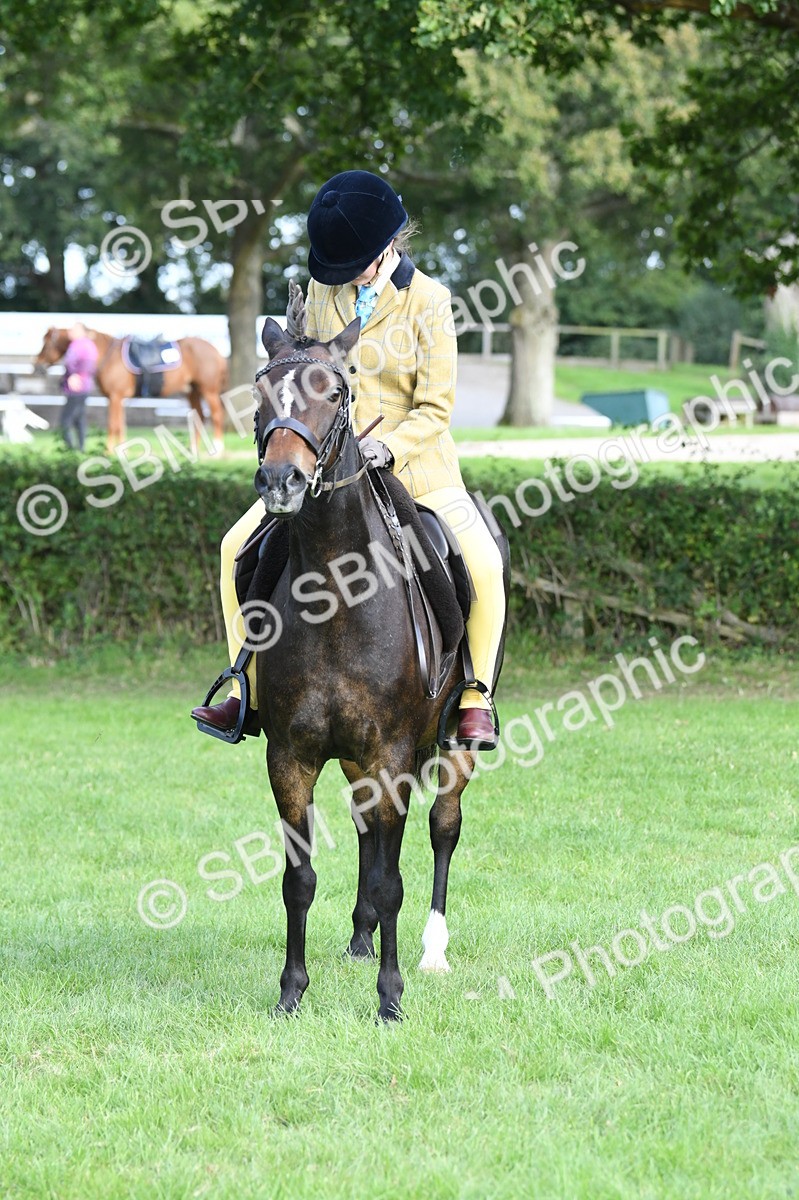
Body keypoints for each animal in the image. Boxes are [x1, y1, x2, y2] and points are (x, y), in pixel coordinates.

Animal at [34, 327, 228, 453]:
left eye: (47, 343)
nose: (37, 366)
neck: (108, 356)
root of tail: (217, 352)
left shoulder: (115, 397)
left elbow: (113, 425)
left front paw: (108, 452)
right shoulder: (117, 399)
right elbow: (121, 425)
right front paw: (122, 451)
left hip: (208, 390)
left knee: (217, 415)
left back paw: (217, 448)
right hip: (193, 391)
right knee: (199, 416)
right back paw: (193, 448)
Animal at [250, 306, 508, 1022]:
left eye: (335, 393)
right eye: (260, 392)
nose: (279, 482)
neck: (337, 593)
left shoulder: (391, 752)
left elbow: (394, 877)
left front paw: (390, 1000)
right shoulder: (291, 755)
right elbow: (300, 877)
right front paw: (290, 992)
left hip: (448, 747)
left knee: (441, 830)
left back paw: (431, 952)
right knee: (371, 833)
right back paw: (363, 938)